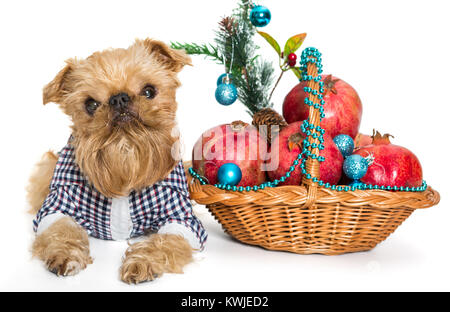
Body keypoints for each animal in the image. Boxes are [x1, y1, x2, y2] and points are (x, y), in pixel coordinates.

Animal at [26, 38, 206, 282]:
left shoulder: (180, 216)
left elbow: (166, 240)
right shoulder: (58, 204)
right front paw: (65, 254)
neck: (125, 157)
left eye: (149, 91)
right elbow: (61, 229)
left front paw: (143, 261)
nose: (119, 98)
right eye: (91, 104)